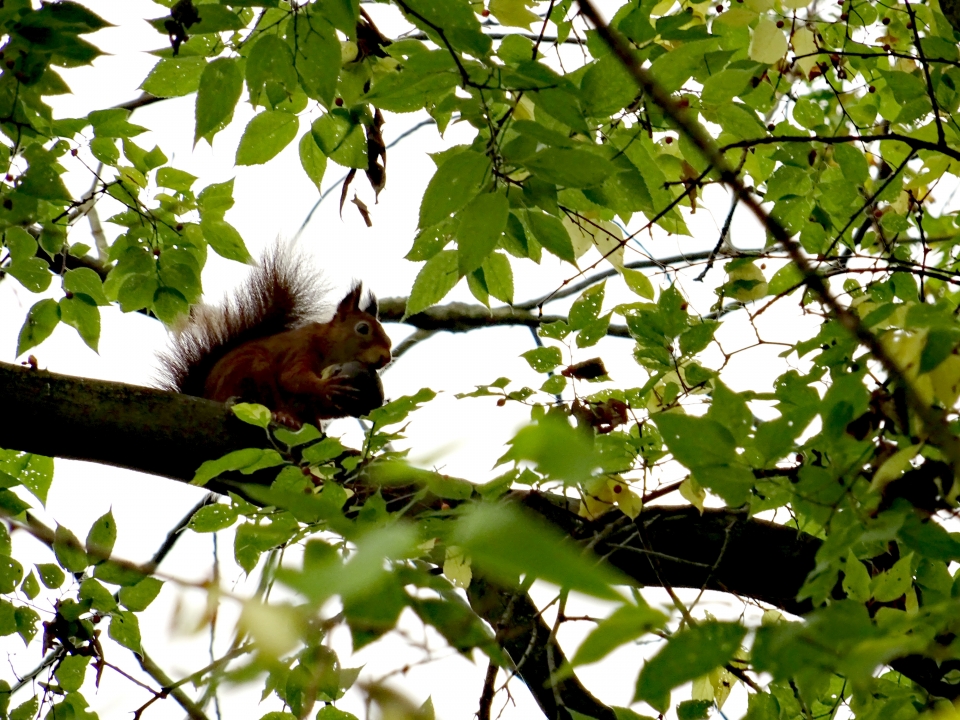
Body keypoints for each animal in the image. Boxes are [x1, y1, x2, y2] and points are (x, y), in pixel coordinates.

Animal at [159, 248, 392, 428]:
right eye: (363, 328)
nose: (387, 358)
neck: (330, 348)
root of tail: (205, 396)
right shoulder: (301, 348)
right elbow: (292, 377)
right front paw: (326, 386)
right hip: (251, 370)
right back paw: (283, 416)